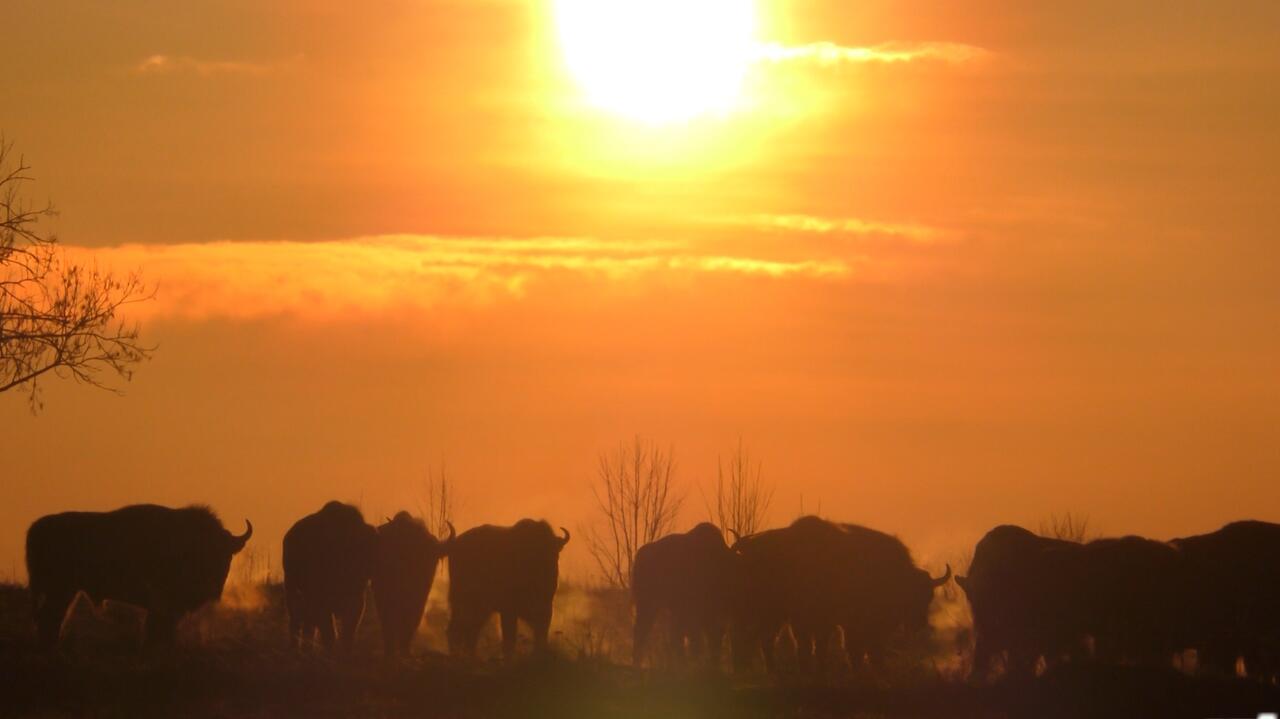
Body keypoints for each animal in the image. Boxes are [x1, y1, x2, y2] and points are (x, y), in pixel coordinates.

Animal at [25, 501, 252, 647]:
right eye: (204, 553)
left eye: (226, 554)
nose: (213, 588)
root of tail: (37, 528)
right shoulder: (164, 602)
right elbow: (158, 626)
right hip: (60, 589)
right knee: (49, 616)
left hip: (65, 590)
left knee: (53, 616)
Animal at [282, 498, 376, 649]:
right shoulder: (321, 602)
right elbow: (329, 634)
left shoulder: (357, 602)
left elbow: (348, 634)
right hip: (292, 589)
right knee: (296, 621)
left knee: (308, 624)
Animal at [371, 509, 455, 655]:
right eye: (397, 552)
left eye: (426, 555)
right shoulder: (383, 598)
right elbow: (388, 623)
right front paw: (390, 650)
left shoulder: (419, 601)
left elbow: (411, 622)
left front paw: (405, 650)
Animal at [450, 516, 570, 660]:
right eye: (533, 551)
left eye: (554, 552)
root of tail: (455, 545)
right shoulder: (509, 610)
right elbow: (509, 639)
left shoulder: (545, 608)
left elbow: (540, 634)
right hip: (461, 601)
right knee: (458, 628)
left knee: (471, 630)